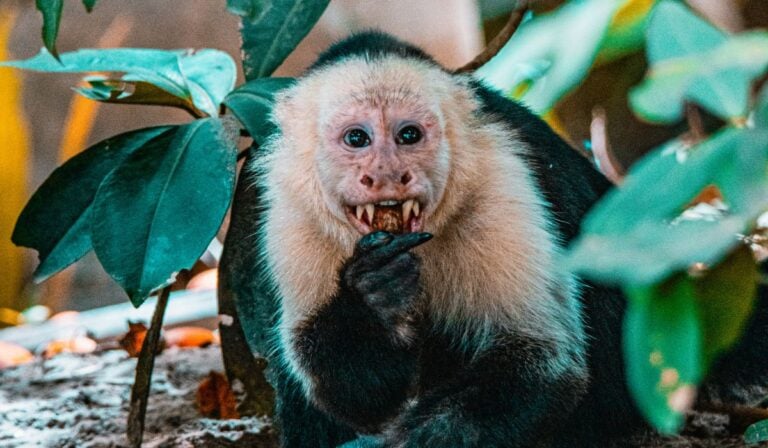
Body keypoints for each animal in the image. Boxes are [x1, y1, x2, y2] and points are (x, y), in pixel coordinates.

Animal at [218, 32, 768, 447]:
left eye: (409, 135)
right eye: (357, 138)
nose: (388, 175)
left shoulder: (501, 177)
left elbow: (542, 361)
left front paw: (416, 440)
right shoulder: (287, 210)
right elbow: (344, 389)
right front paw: (373, 296)